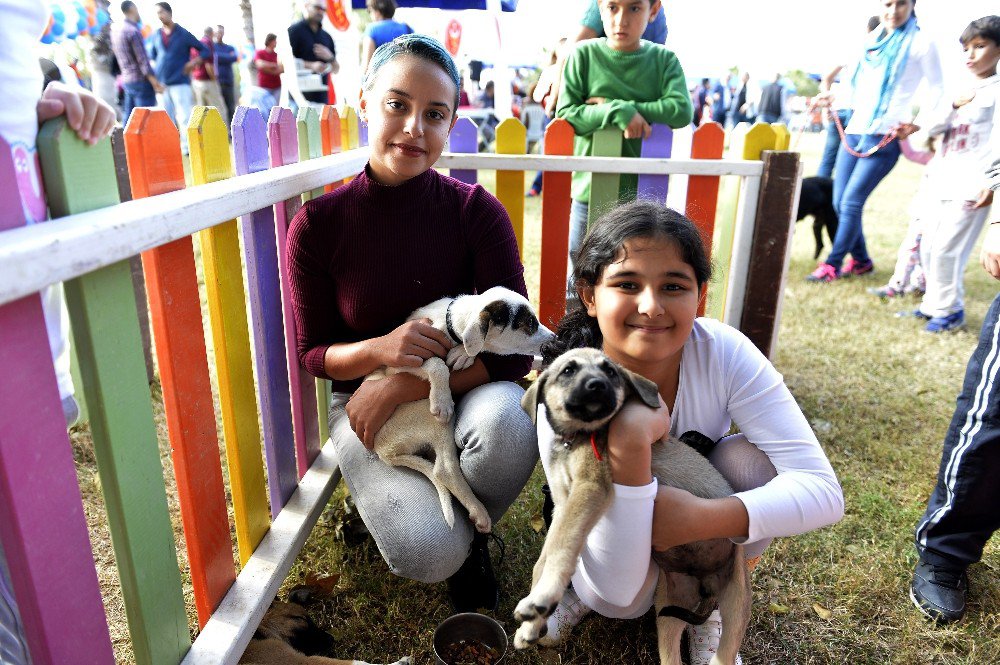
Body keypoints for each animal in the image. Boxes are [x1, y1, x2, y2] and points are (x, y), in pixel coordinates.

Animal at [368, 288, 556, 532]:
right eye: (530, 323)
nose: (556, 339)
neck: (449, 323)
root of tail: (384, 452)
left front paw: (465, 354)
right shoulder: (400, 360)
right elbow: (437, 364)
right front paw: (442, 398)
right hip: (427, 415)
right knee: (444, 469)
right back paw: (479, 512)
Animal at [516, 348, 752, 664]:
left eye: (611, 372)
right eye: (568, 371)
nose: (597, 385)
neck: (575, 439)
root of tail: (707, 586)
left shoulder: (590, 489)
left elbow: (560, 549)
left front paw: (542, 597)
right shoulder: (563, 505)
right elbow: (545, 556)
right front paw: (533, 621)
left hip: (736, 603)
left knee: (724, 651)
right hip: (669, 607)